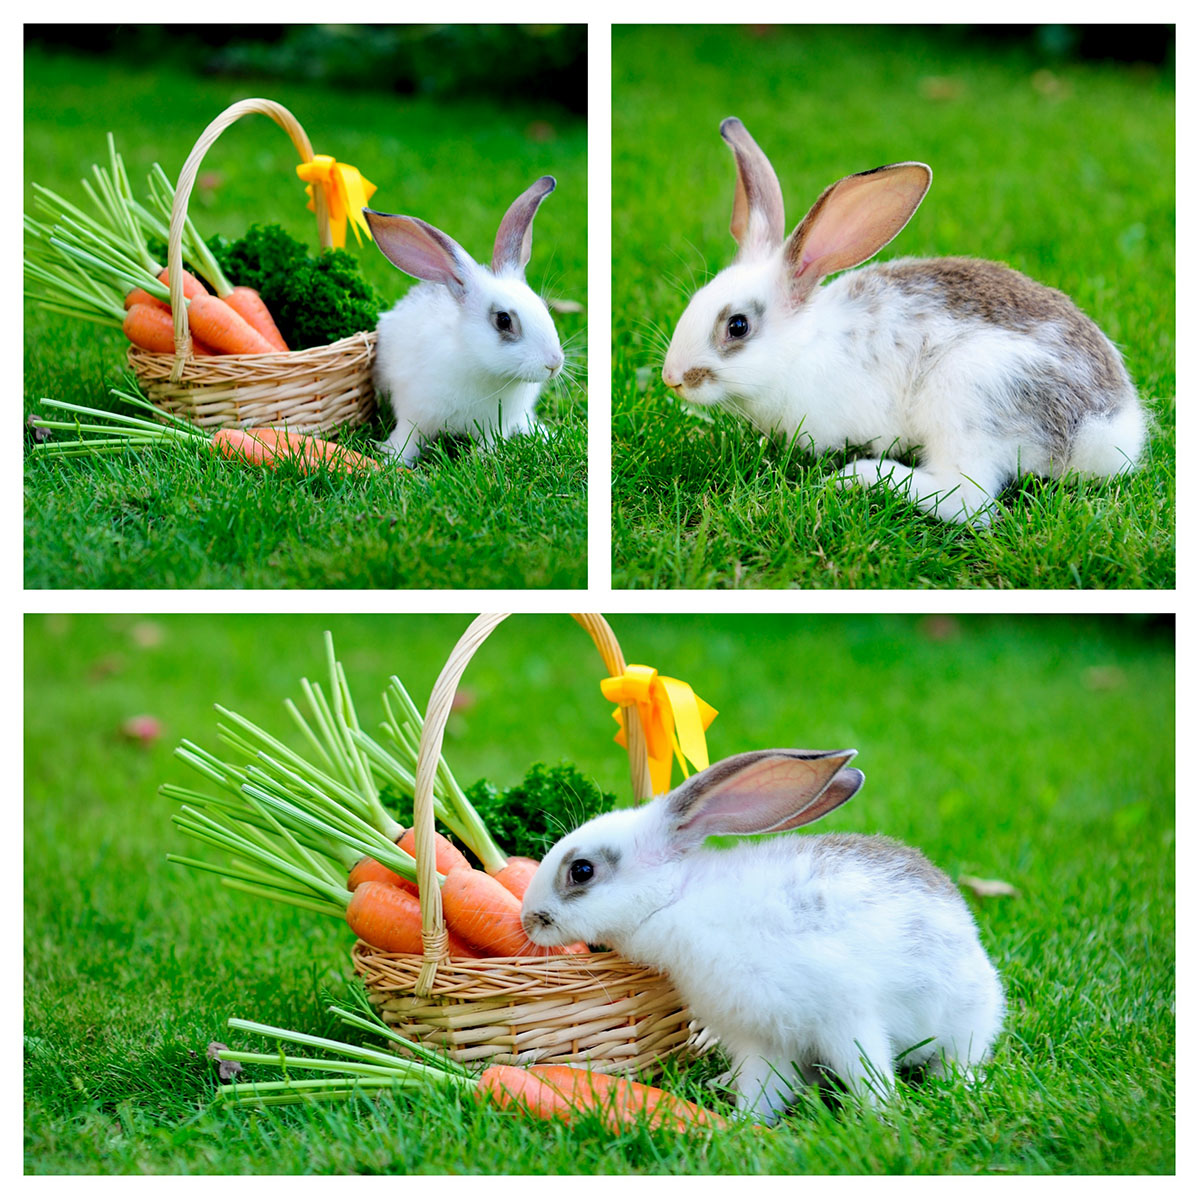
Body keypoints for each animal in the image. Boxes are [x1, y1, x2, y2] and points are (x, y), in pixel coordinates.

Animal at [362, 177, 564, 468]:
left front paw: (481, 460)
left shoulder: (496, 426)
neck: (482, 367)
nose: (554, 364)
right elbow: (407, 440)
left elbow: (490, 445)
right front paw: (392, 461)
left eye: (544, 307)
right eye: (503, 320)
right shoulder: (414, 415)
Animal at [523, 744, 1003, 1118]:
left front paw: (884, 1115)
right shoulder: (762, 1040)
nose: (528, 920)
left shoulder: (845, 1017)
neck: (675, 900)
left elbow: (865, 1070)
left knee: (961, 1057)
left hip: (965, 1022)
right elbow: (763, 1090)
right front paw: (742, 1125)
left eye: (581, 871)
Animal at [662, 115, 1147, 520]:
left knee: (968, 499)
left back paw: (861, 478)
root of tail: (1107, 426)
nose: (672, 379)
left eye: (737, 326)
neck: (802, 347)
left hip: (969, 393)